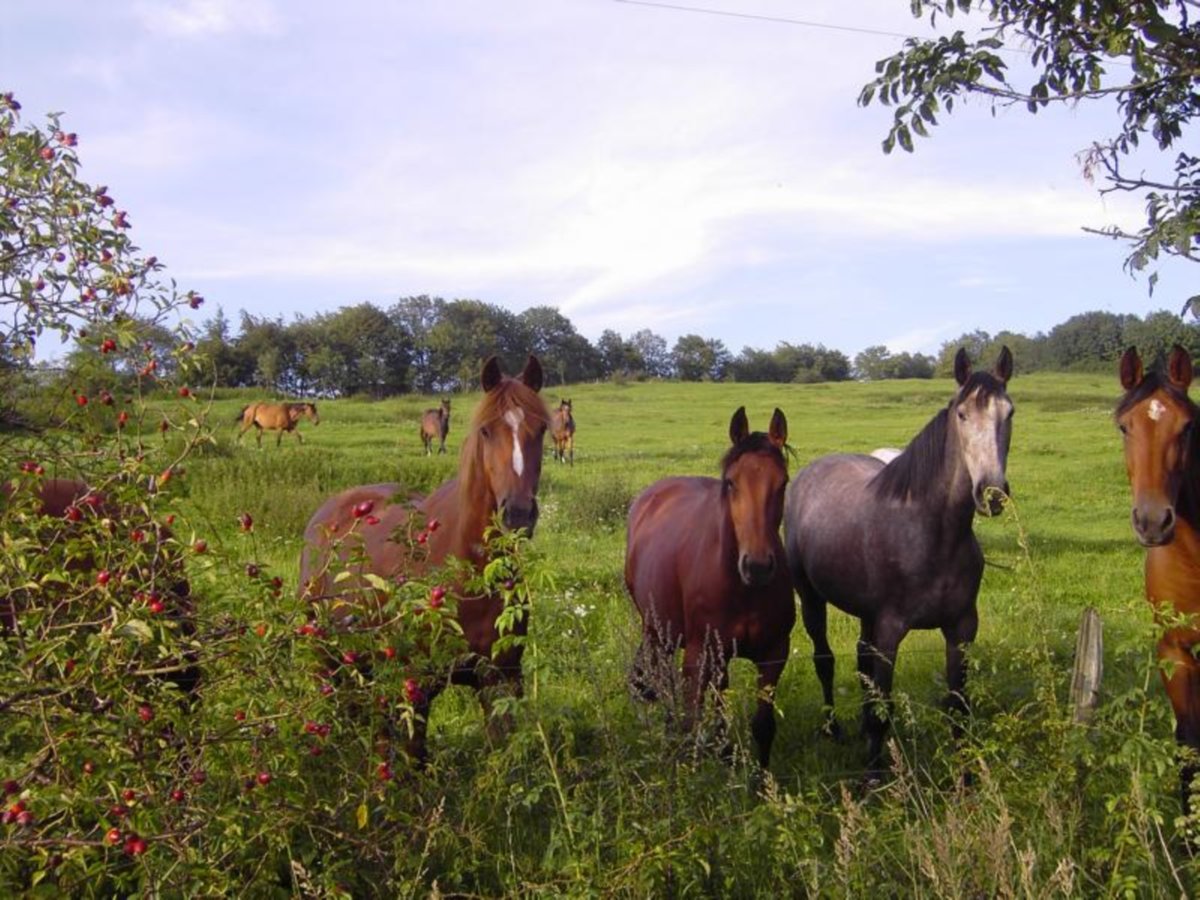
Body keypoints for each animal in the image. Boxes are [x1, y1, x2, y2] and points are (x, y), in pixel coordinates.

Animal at [300, 355, 549, 763]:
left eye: (541, 429)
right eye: (486, 431)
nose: (516, 514)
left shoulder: (500, 679)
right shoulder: (417, 685)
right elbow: (414, 756)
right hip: (326, 660)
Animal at [624, 408, 792, 768]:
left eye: (783, 483)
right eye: (731, 482)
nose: (757, 566)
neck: (742, 588)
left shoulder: (774, 655)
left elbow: (763, 726)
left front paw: (759, 776)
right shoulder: (697, 655)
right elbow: (691, 721)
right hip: (656, 632)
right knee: (663, 682)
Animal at [782, 348, 1008, 777]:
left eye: (1009, 413)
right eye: (961, 414)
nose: (991, 493)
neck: (933, 533)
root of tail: (807, 473)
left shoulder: (962, 629)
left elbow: (958, 707)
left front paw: (967, 778)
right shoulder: (891, 630)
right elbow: (882, 709)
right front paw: (874, 777)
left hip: (865, 614)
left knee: (860, 658)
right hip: (811, 598)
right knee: (825, 659)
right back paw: (832, 727)